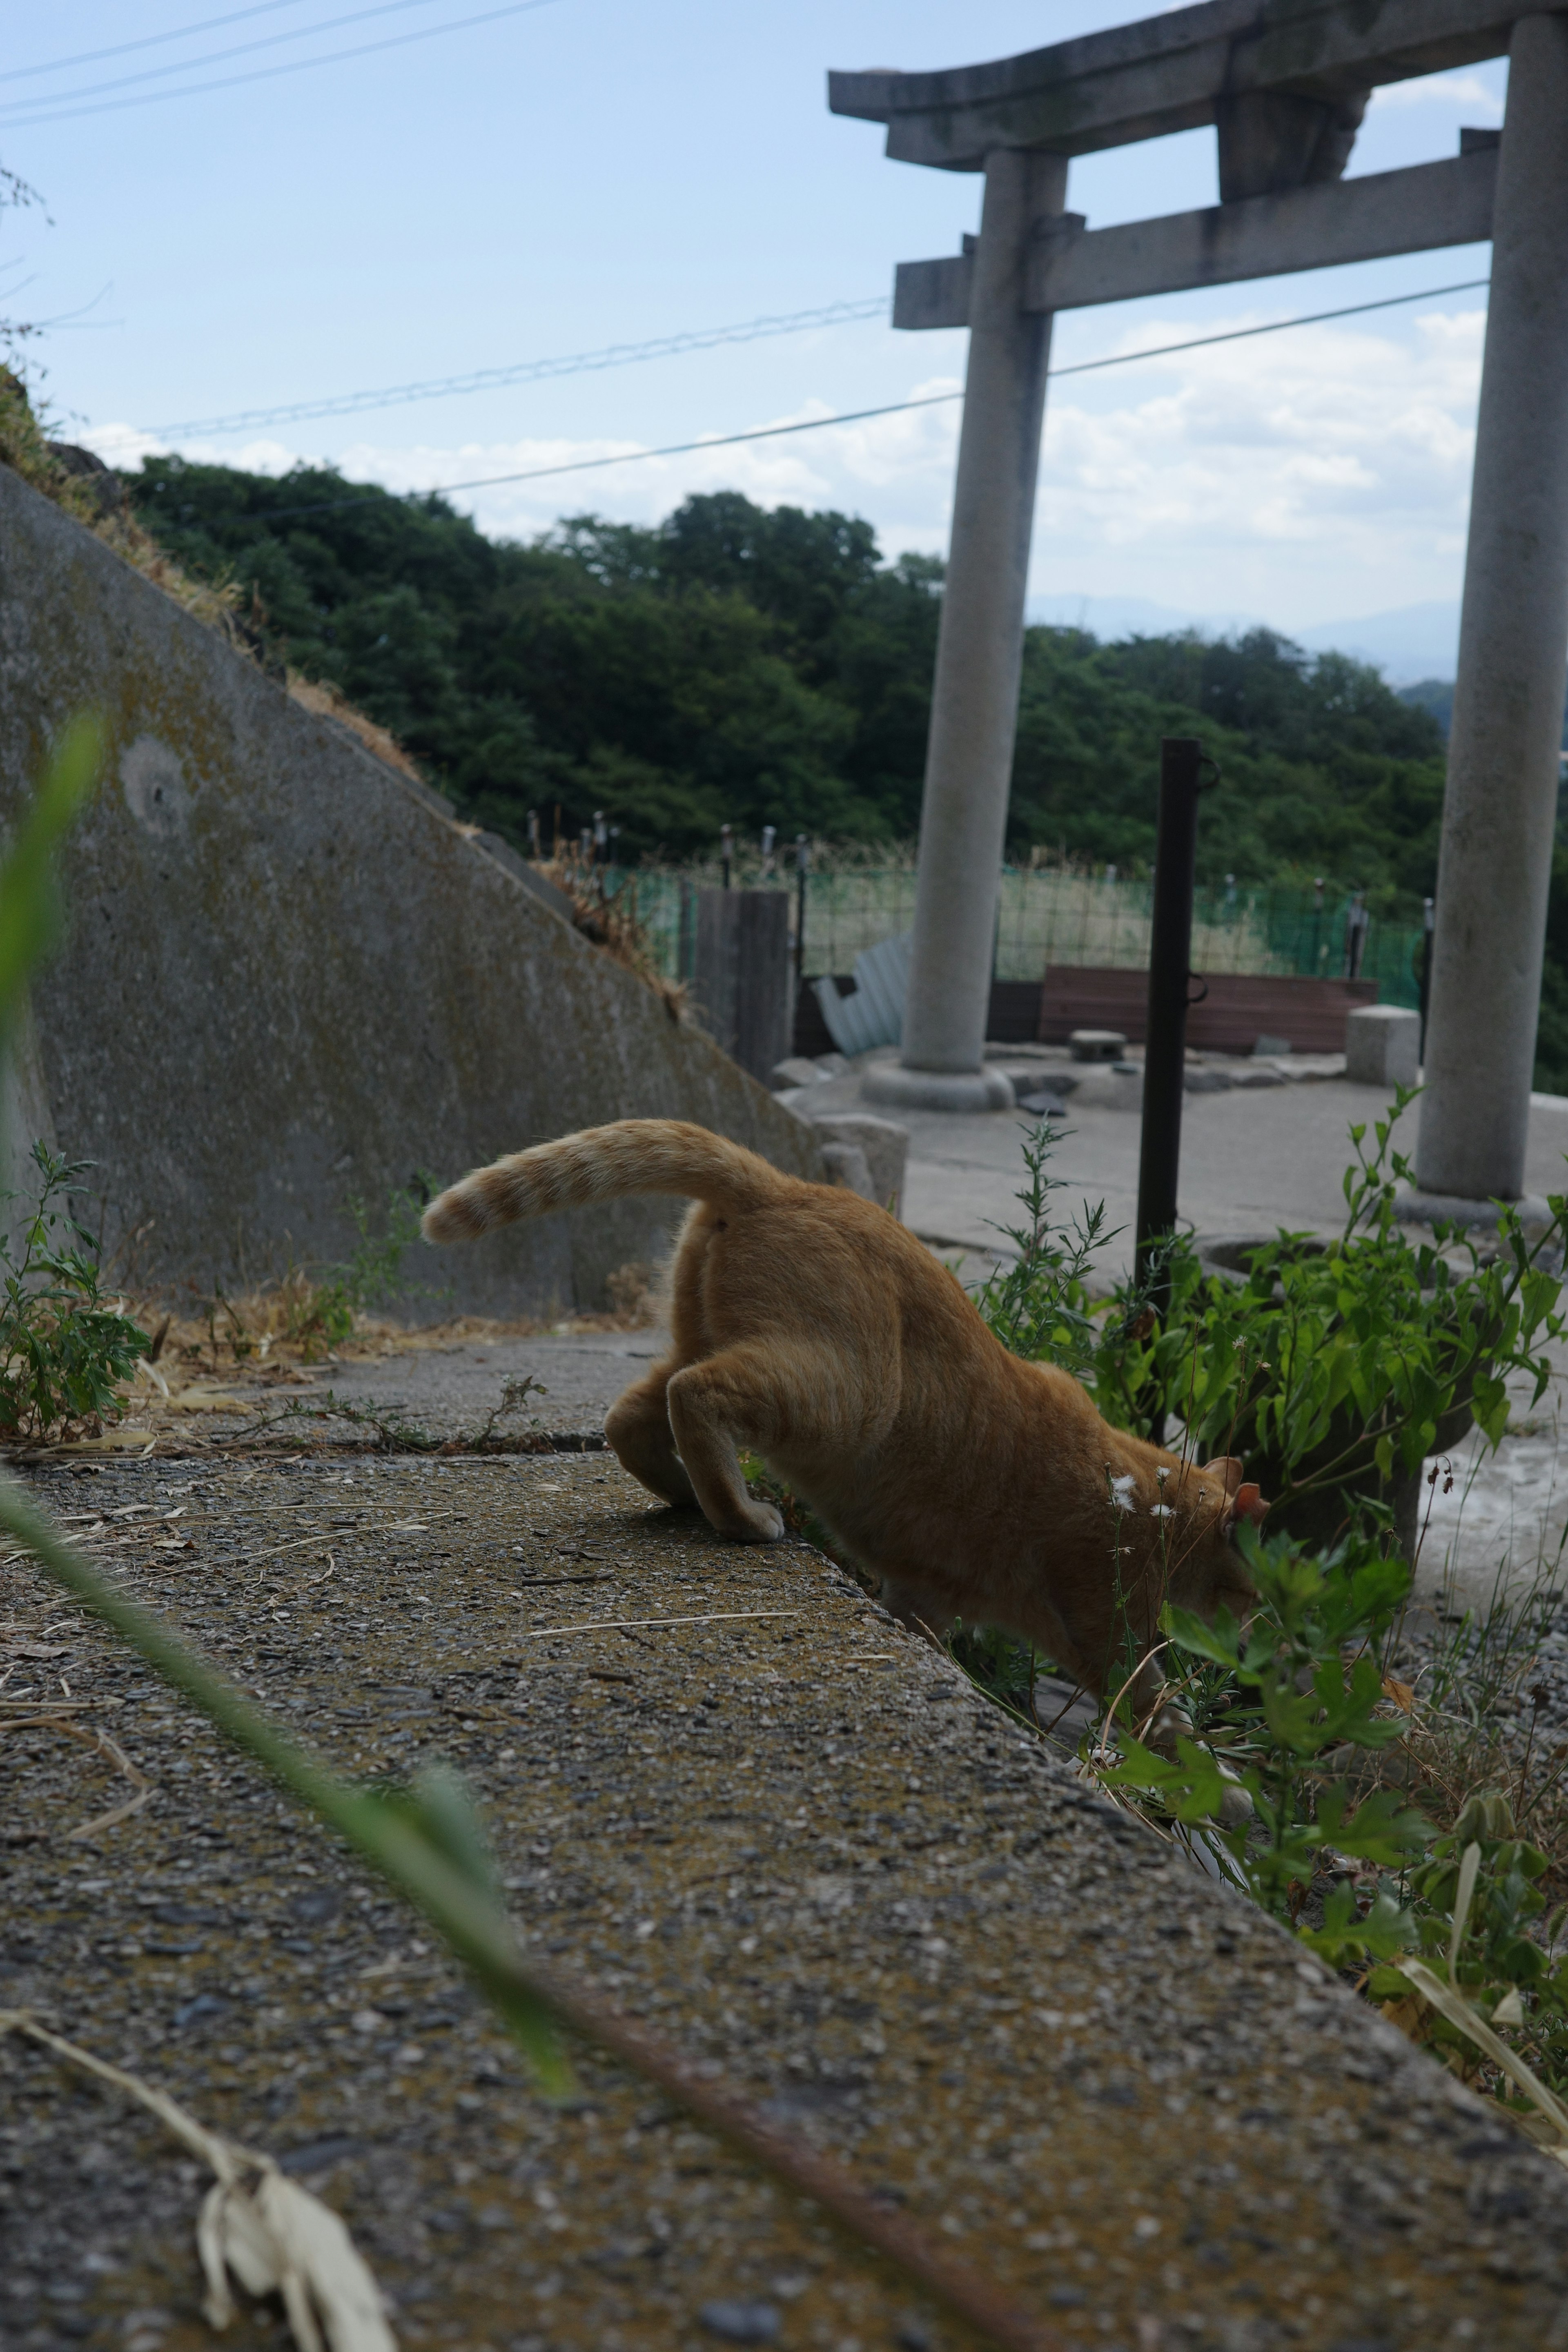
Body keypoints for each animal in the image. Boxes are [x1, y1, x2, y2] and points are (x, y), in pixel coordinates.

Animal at [423, 1119, 1269, 1712]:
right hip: (837, 1397)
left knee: (634, 1416)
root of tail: (780, 1184)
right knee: (697, 1396)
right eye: (1252, 1592)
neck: (1142, 1494)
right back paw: (744, 1516)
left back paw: (691, 1498)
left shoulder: (926, 1596)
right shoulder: (1105, 1632)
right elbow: (1159, 1716)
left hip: (709, 1343)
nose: (1252, 1640)